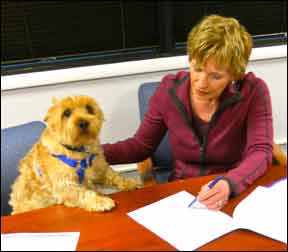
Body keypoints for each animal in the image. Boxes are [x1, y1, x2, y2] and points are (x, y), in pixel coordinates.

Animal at [10, 95, 141, 214]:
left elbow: (113, 175)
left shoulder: (99, 168)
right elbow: (82, 193)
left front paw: (128, 182)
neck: (79, 151)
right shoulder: (64, 185)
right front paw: (100, 201)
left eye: (89, 108)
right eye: (66, 112)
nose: (83, 122)